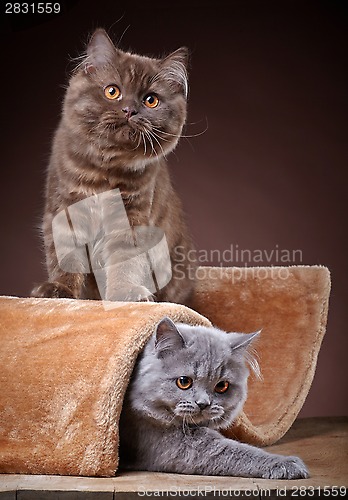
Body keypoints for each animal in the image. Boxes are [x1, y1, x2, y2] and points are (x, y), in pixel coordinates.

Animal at [31, 30, 196, 304]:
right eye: (112, 91)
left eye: (151, 100)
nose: (129, 110)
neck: (105, 169)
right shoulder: (65, 209)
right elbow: (65, 258)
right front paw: (60, 291)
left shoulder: (131, 217)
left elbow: (125, 261)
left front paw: (126, 294)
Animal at [119, 318, 308, 478]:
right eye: (184, 382)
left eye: (222, 386)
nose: (203, 403)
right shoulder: (171, 445)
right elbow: (234, 452)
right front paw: (287, 464)